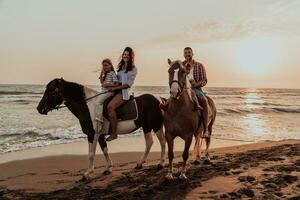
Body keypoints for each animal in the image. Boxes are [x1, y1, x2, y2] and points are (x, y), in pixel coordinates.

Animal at [37, 78, 166, 180]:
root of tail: (159, 99)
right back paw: (140, 163)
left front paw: (87, 173)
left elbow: (91, 154)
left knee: (162, 142)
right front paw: (108, 169)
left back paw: (161, 163)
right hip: (146, 126)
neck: (88, 106)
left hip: (156, 125)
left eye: (52, 91)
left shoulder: (92, 134)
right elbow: (105, 150)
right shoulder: (100, 135)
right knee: (149, 143)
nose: (39, 108)